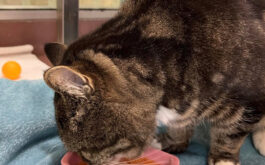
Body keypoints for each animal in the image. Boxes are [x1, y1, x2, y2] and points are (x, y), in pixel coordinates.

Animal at [42, 0, 264, 165]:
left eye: (86, 150)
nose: (86, 161)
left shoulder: (248, 105)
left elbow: (229, 137)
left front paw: (222, 158)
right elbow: (180, 125)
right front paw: (169, 141)